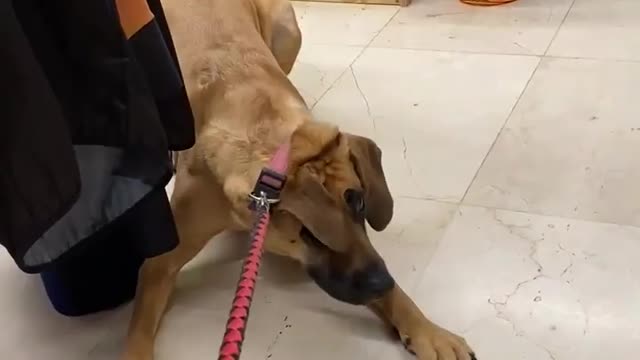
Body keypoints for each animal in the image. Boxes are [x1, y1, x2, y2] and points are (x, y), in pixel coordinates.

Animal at [121, 0, 476, 360]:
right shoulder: (160, 263)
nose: (382, 283)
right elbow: (138, 328)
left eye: (360, 202)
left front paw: (427, 330)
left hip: (286, 28)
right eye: (309, 234)